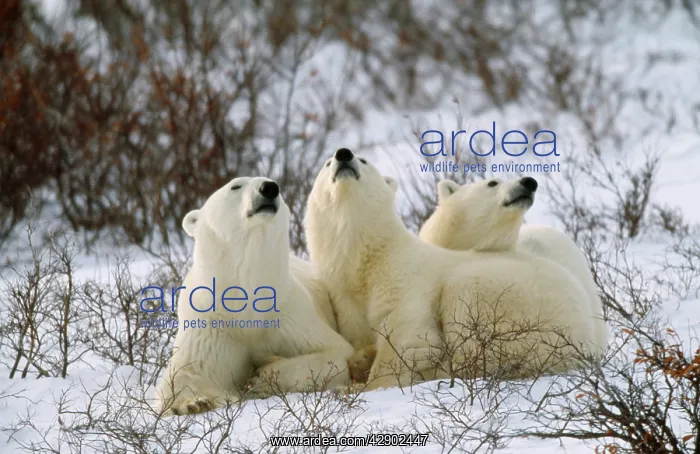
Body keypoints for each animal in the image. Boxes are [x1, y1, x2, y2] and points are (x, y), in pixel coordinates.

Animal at [154, 176, 358, 416]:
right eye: (235, 186)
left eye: (275, 184)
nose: (269, 188)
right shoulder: (210, 324)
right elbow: (187, 372)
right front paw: (194, 403)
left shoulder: (290, 317)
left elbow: (334, 354)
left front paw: (262, 376)